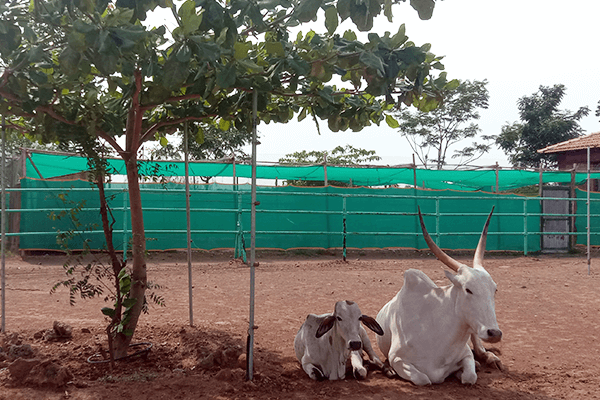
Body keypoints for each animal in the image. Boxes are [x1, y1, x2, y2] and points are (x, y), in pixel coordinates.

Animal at [378, 206, 504, 384]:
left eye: (494, 289)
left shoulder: (466, 354)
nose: (494, 333)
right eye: (468, 289)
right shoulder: (397, 358)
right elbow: (424, 379)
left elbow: (469, 376)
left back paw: (490, 358)